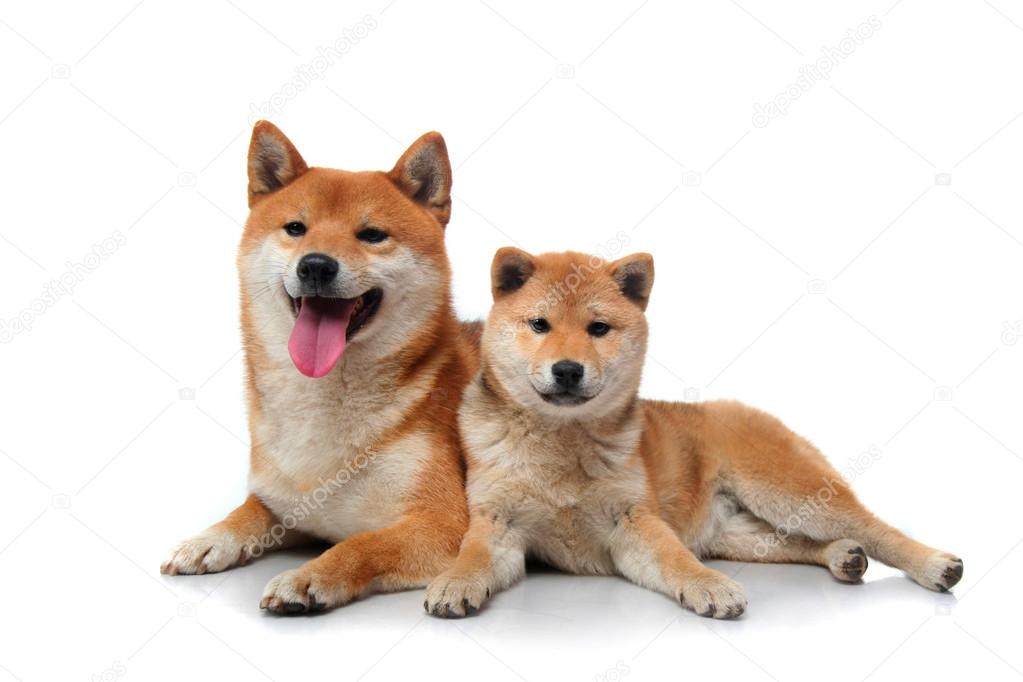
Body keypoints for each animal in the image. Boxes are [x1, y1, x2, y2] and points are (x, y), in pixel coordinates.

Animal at [161, 122, 478, 613]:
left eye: (372, 234)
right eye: (296, 228)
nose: (315, 265)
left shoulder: (442, 522)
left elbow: (361, 544)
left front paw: (310, 576)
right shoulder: (285, 497)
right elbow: (250, 509)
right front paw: (210, 538)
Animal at [424, 248, 963, 619]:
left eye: (598, 328)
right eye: (539, 324)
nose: (568, 370)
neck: (560, 445)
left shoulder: (634, 522)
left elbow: (676, 559)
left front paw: (709, 586)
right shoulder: (498, 522)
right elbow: (472, 554)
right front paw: (454, 582)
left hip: (790, 492)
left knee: (878, 529)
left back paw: (935, 563)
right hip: (740, 532)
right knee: (803, 542)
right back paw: (842, 557)